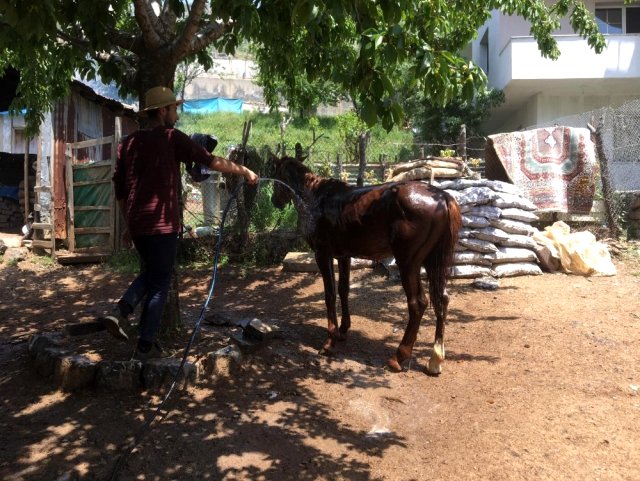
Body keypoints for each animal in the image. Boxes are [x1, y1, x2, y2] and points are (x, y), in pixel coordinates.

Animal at [270, 156, 460, 374]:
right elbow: (343, 290)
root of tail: (442, 197)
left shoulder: (322, 254)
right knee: (442, 299)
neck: (315, 198)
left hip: (409, 263)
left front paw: (329, 341)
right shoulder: (344, 256)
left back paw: (398, 357)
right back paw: (435, 359)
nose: (274, 201)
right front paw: (343, 330)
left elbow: (330, 294)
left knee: (417, 303)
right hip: (432, 262)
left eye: (275, 175)